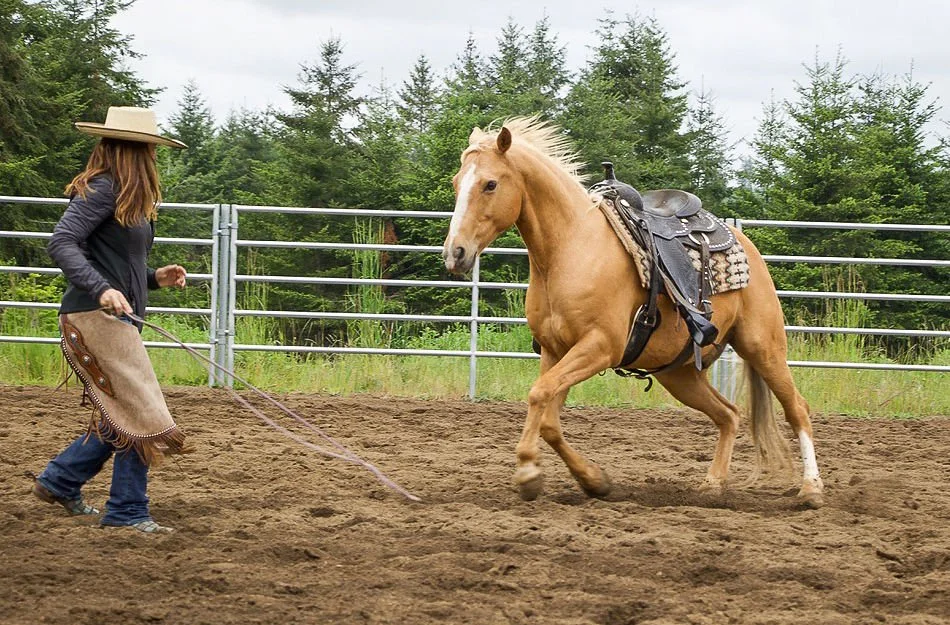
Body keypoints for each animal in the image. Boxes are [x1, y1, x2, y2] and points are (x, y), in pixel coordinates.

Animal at [441, 117, 824, 508]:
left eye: (490, 184)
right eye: (457, 182)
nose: (455, 253)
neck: (571, 249)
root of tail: (745, 243)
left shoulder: (599, 347)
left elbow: (538, 394)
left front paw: (528, 474)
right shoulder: (555, 352)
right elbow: (548, 417)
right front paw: (594, 481)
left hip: (763, 347)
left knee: (797, 408)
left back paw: (811, 489)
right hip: (679, 375)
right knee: (729, 415)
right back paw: (713, 485)